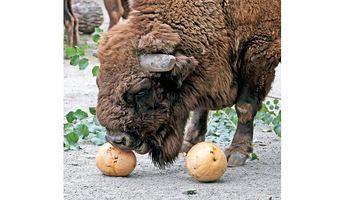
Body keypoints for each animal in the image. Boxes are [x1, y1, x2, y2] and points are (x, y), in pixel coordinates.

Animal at [95, 0, 282, 168]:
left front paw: (237, 153)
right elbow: (200, 107)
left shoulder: (259, 51)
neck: (220, 8)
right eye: (98, 83)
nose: (117, 140)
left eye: (141, 90)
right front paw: (189, 143)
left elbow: (245, 106)